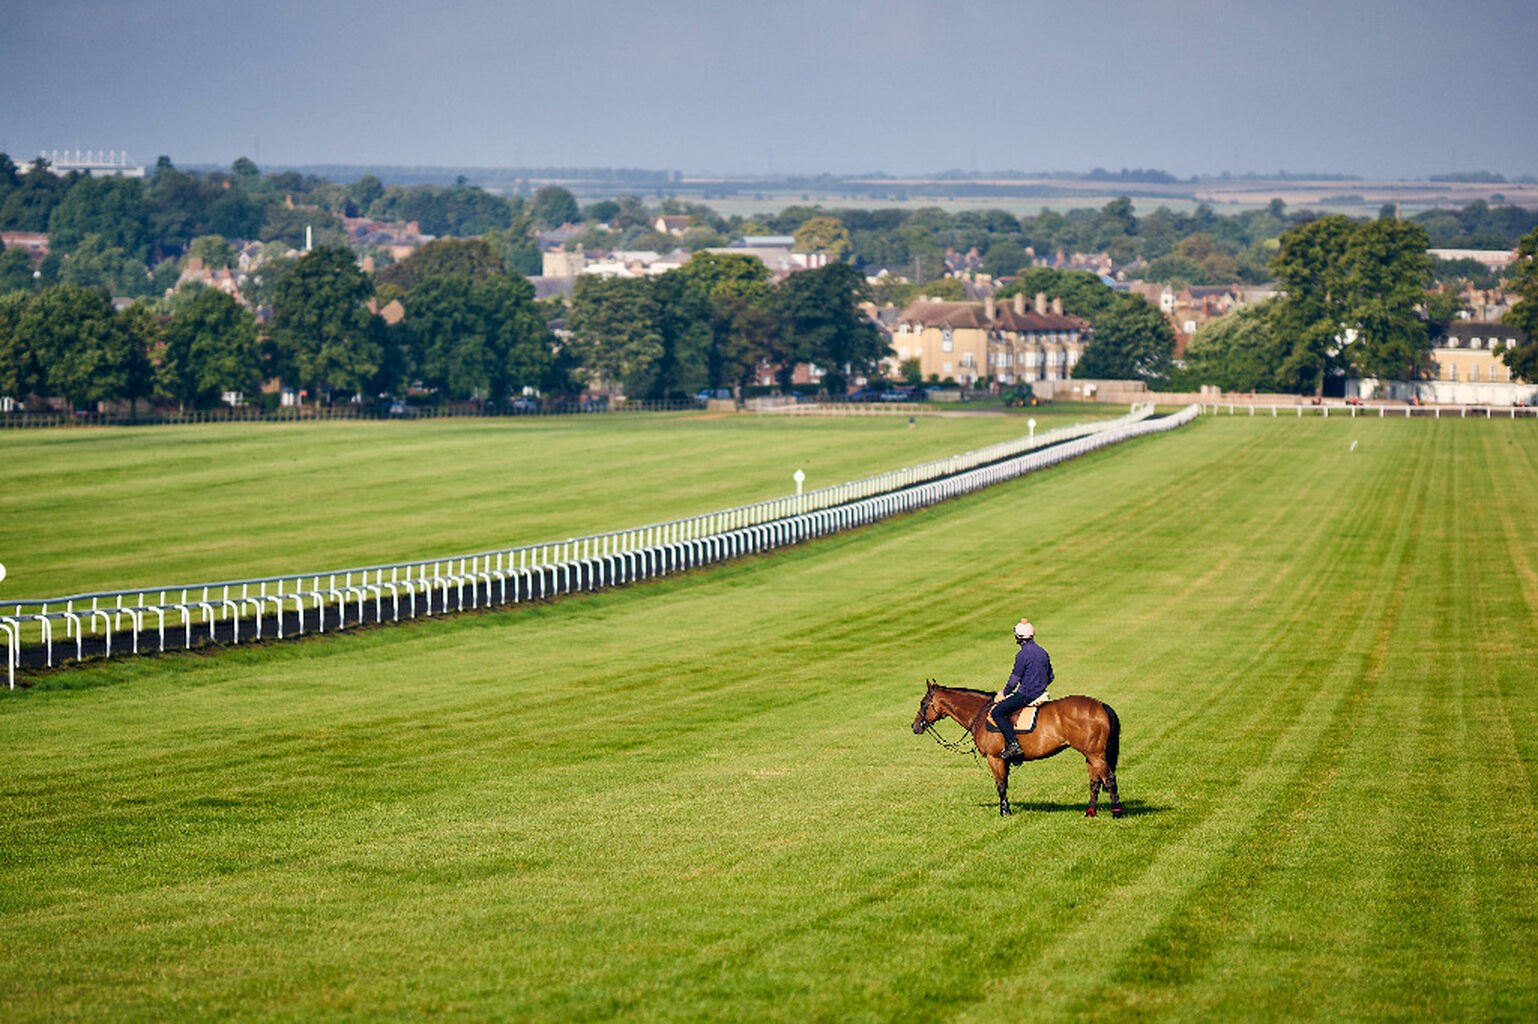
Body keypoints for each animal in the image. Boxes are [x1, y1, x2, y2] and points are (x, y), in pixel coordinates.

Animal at [912, 679, 1123, 818]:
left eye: (923, 703)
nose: (914, 726)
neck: (981, 713)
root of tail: (1101, 705)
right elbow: (1004, 783)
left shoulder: (995, 758)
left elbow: (1000, 785)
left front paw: (1004, 811)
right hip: (1090, 756)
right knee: (1095, 782)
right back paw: (1090, 812)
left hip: (1095, 755)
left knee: (1109, 779)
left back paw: (1116, 813)